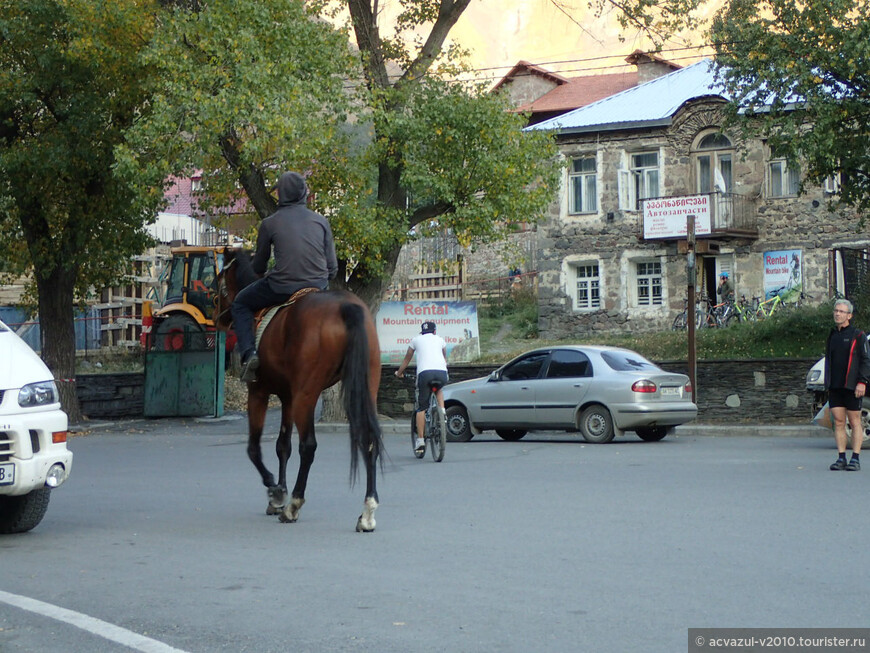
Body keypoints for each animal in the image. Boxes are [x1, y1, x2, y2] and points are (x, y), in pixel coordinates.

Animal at [214, 248, 382, 528]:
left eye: (219, 278)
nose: (220, 317)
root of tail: (346, 306)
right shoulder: (287, 397)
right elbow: (283, 446)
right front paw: (278, 493)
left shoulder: (259, 392)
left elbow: (254, 447)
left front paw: (276, 491)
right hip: (365, 389)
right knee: (368, 439)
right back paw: (367, 510)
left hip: (307, 395)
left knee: (308, 446)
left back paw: (294, 504)